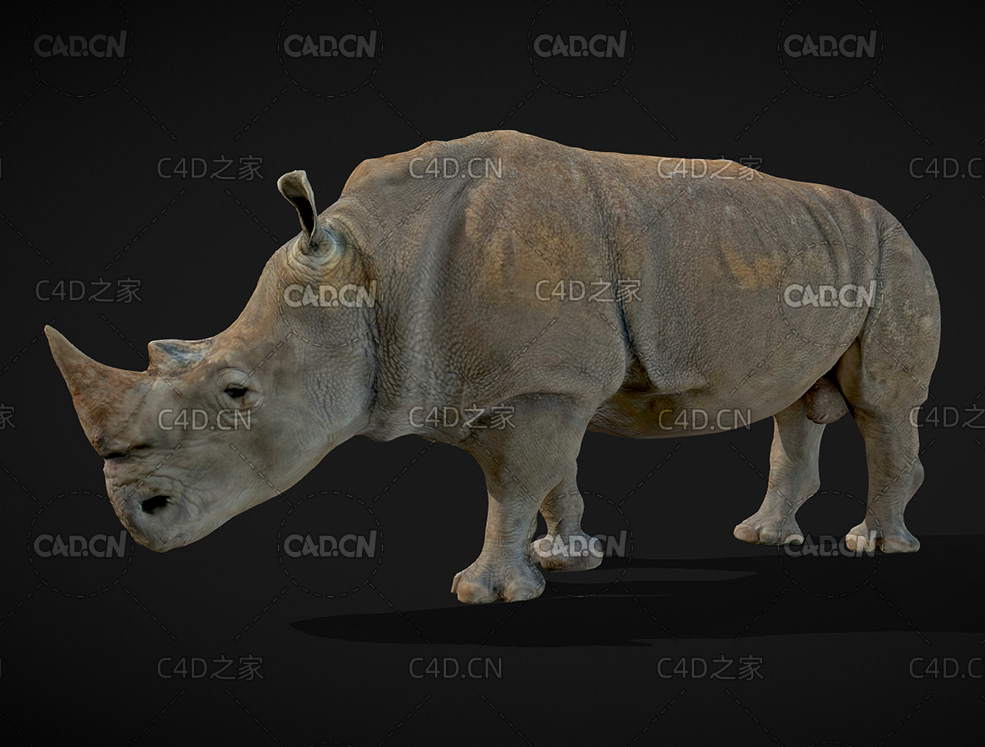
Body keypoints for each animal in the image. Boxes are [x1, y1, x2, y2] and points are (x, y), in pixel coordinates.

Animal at [47, 130, 940, 603]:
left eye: (236, 391)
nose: (138, 514)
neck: (372, 269)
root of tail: (883, 213)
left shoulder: (538, 384)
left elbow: (512, 485)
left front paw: (488, 591)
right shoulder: (546, 382)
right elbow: (553, 481)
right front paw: (565, 559)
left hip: (893, 250)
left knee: (880, 405)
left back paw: (875, 546)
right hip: (810, 246)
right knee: (798, 405)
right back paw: (763, 535)